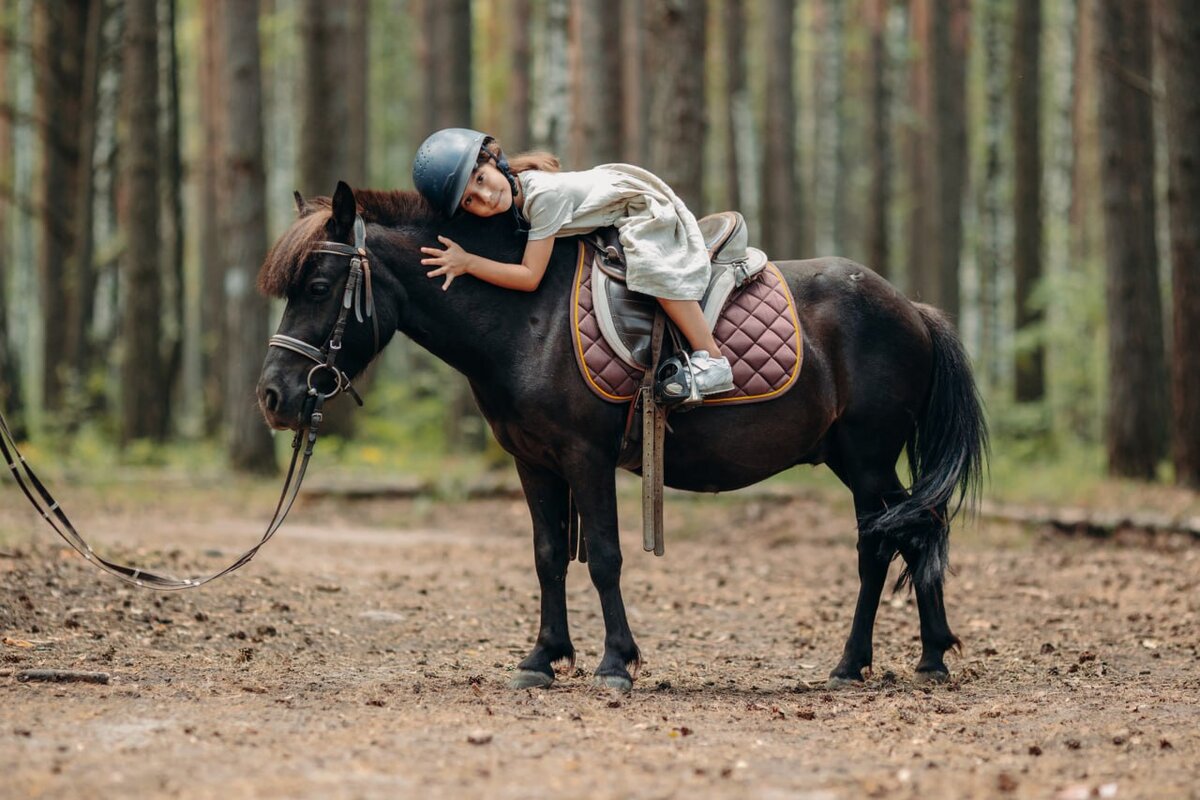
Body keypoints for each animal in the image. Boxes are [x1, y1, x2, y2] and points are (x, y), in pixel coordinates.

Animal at [253, 179, 984, 690]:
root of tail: (911, 308)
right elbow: (549, 555)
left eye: (318, 285)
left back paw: (862, 661)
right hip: (850, 458)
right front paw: (543, 658)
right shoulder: (532, 461)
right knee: (914, 530)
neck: (528, 318)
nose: (274, 397)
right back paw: (924, 655)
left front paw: (615, 662)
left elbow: (603, 556)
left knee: (885, 542)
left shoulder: (587, 456)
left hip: (867, 456)